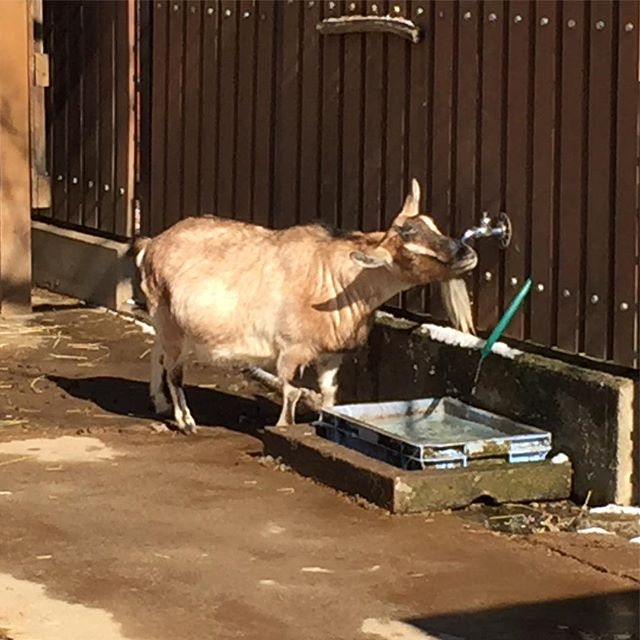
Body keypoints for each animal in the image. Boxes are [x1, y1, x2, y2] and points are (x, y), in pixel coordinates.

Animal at [134, 178, 476, 432]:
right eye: (410, 253)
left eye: (433, 225)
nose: (466, 253)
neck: (333, 276)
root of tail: (152, 245)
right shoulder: (291, 351)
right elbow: (292, 392)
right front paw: (284, 427)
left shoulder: (331, 355)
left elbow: (329, 394)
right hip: (170, 323)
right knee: (174, 372)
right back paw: (186, 421)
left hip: (165, 323)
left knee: (158, 354)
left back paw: (159, 403)